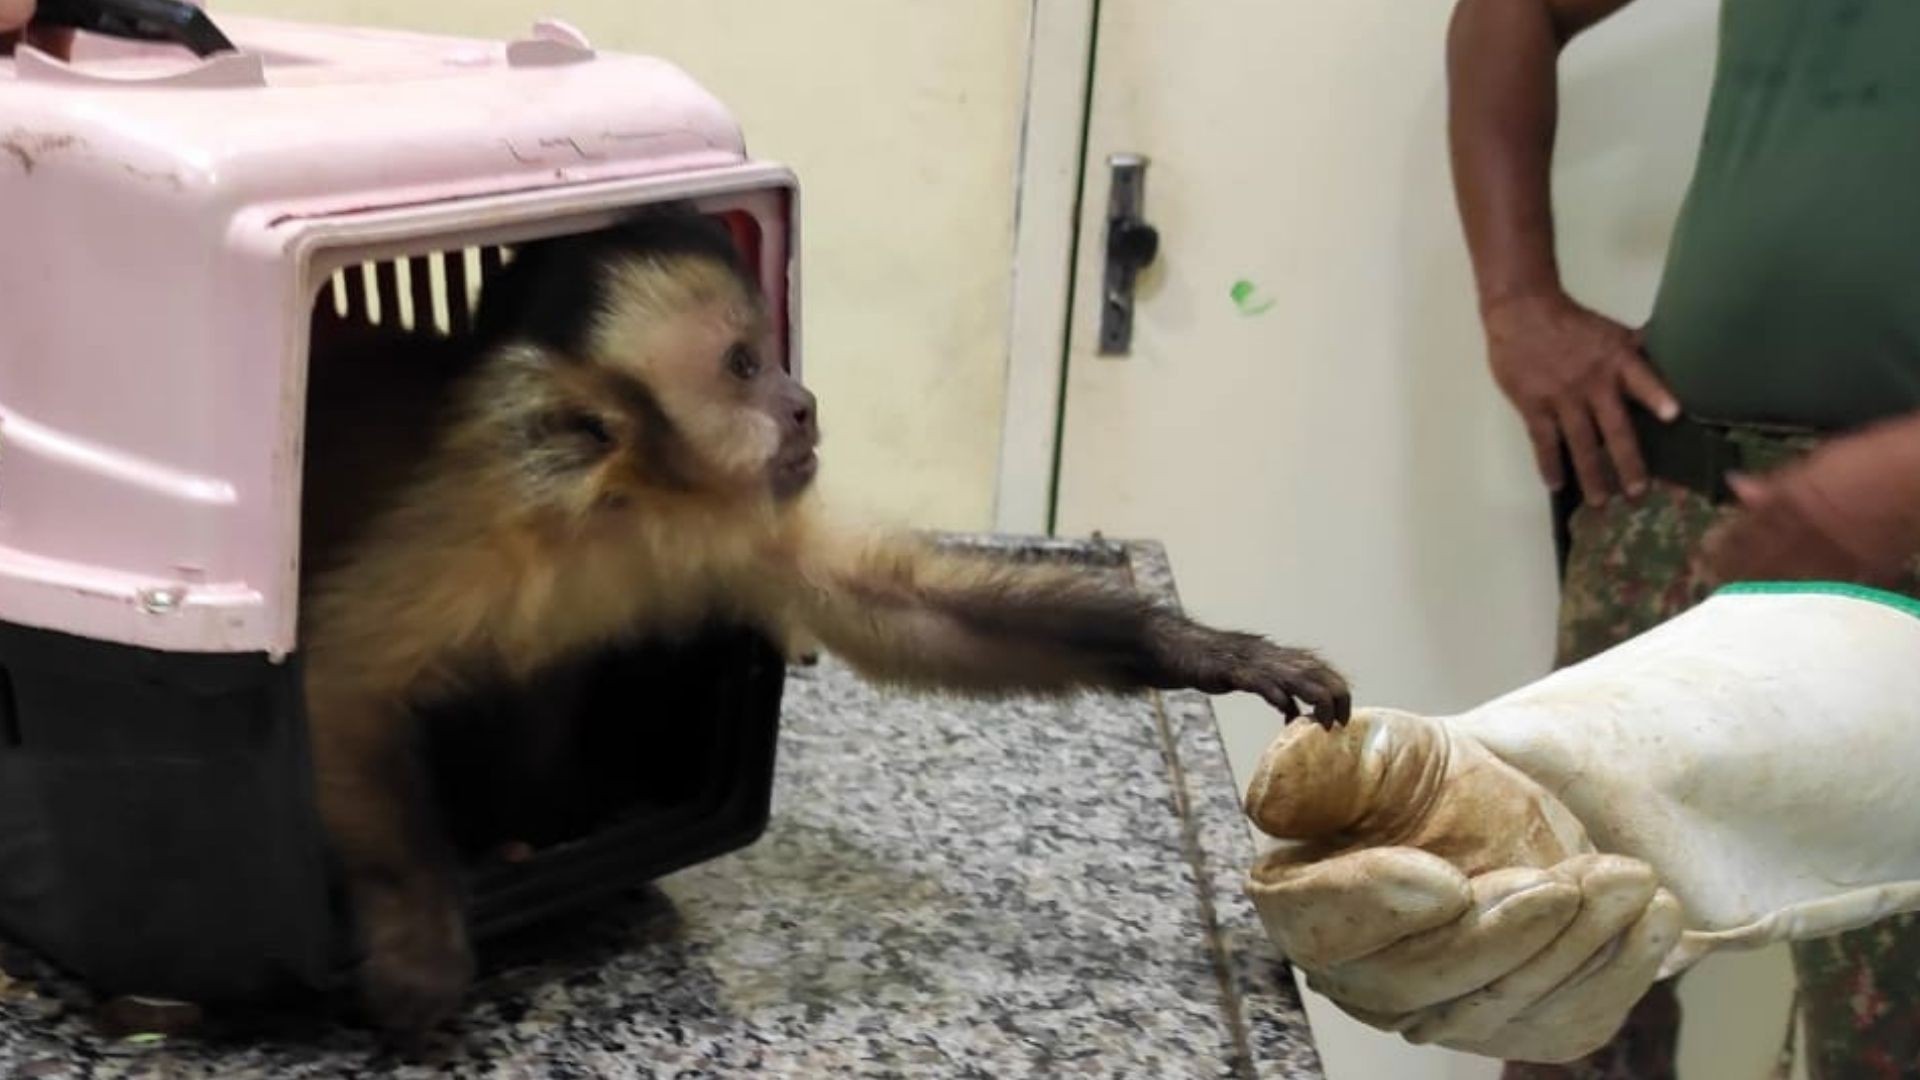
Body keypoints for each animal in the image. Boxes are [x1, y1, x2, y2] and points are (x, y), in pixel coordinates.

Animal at [296, 206, 1351, 1037]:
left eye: (772, 355)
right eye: (742, 365)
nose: (803, 403)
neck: (632, 502)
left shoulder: (740, 521)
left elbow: (910, 610)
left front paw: (1208, 650)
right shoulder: (473, 526)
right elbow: (338, 682)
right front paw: (419, 934)